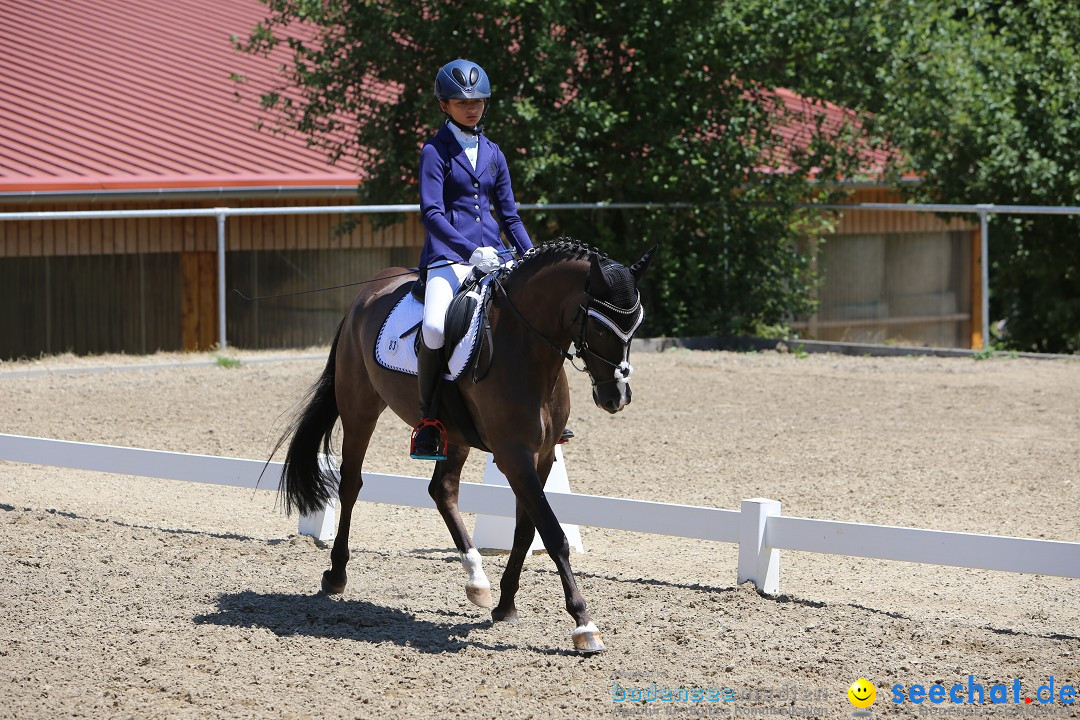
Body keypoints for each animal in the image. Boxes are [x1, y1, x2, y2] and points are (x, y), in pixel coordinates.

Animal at [274, 240, 652, 651]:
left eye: (636, 324)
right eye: (598, 325)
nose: (616, 397)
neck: (526, 348)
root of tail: (367, 291)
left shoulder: (542, 456)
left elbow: (525, 531)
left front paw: (505, 604)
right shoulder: (513, 455)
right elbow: (553, 534)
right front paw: (584, 624)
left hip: (451, 435)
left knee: (442, 490)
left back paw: (477, 580)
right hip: (360, 408)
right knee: (351, 484)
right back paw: (336, 574)